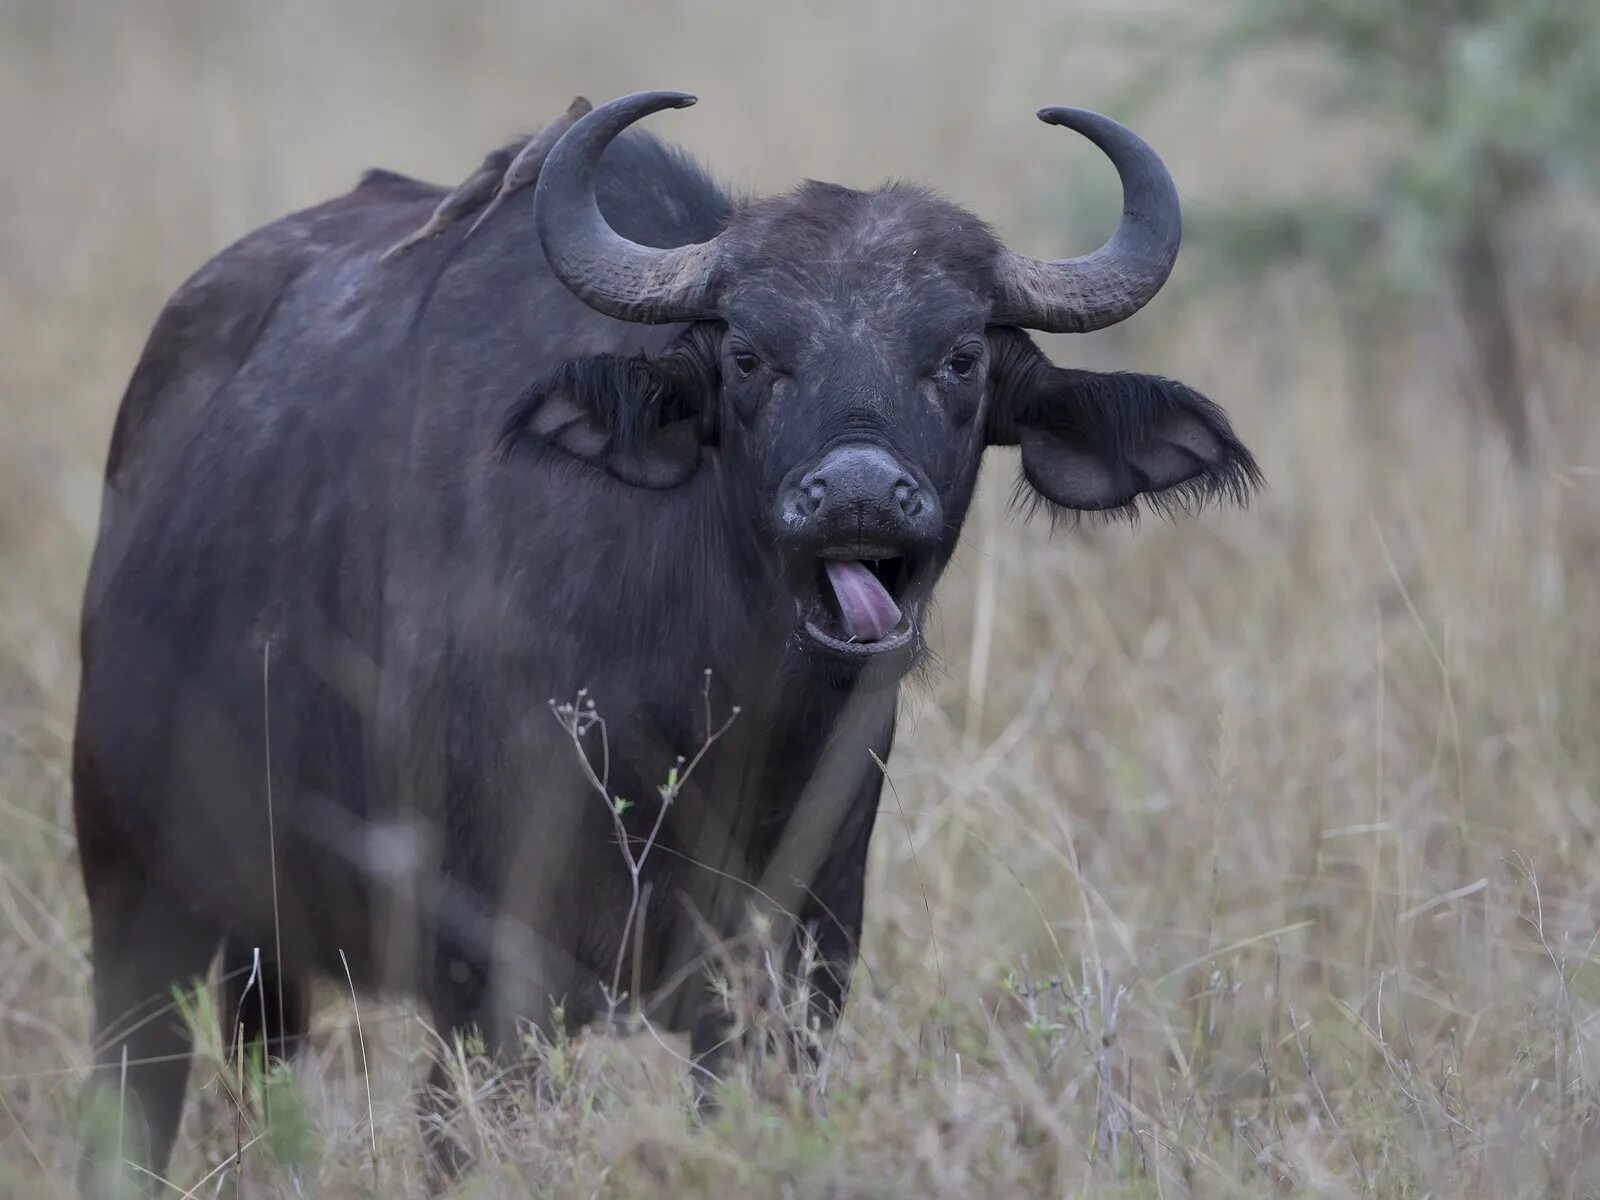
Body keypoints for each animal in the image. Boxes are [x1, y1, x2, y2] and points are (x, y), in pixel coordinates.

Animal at [72, 86, 1248, 1196]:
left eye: (959, 357)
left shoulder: (790, 983)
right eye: (749, 356)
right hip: (133, 906)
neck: (710, 719)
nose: (857, 495)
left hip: (263, 952)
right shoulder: (488, 990)